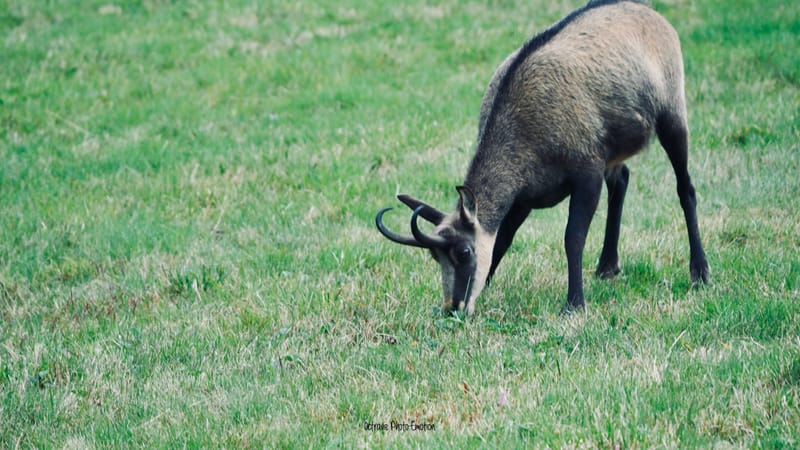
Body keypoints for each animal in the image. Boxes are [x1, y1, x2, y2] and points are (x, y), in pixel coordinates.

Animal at [376, 0, 710, 314]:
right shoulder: (523, 196)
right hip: (613, 147)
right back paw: (607, 266)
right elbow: (503, 239)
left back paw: (700, 272)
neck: (524, 129)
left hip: (672, 113)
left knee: (685, 187)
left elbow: (573, 236)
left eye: (464, 252)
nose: (453, 308)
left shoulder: (587, 172)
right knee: (621, 180)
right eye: (435, 256)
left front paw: (574, 304)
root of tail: (646, 11)